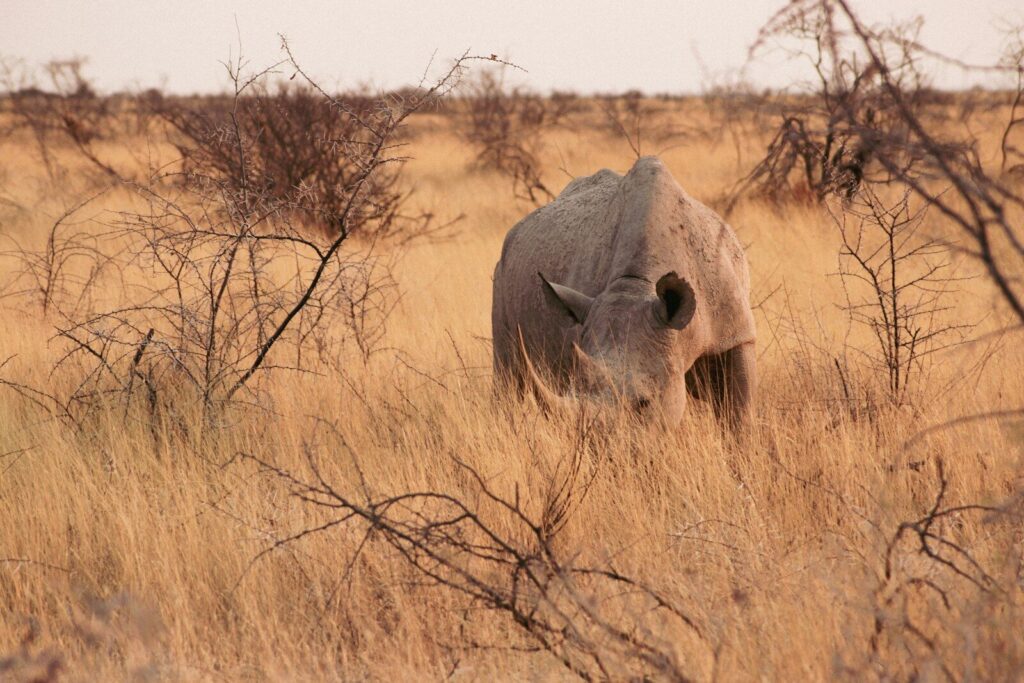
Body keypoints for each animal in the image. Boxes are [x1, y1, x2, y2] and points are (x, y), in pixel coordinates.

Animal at [491, 156, 756, 426]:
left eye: (645, 403)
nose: (600, 439)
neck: (638, 286)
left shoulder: (736, 334)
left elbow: (739, 412)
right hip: (501, 271)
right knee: (508, 375)